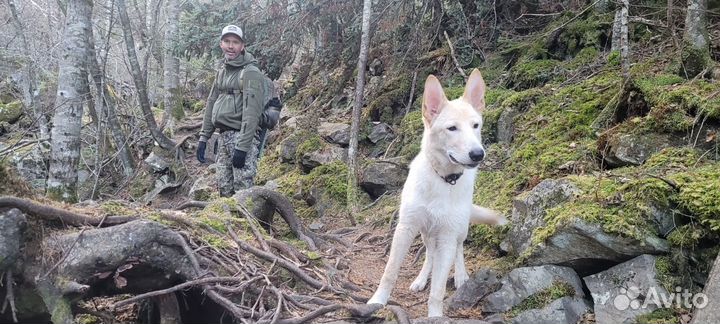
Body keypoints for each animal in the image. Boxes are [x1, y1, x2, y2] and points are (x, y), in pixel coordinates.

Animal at [366, 69, 506, 316]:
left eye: (476, 125)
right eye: (452, 128)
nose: (478, 154)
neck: (443, 180)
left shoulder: (448, 237)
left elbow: (438, 290)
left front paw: (435, 315)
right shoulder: (405, 229)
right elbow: (390, 272)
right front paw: (378, 301)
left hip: (458, 230)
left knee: (458, 249)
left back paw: (460, 276)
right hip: (426, 233)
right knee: (430, 254)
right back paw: (421, 279)